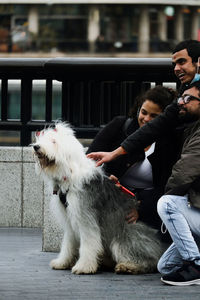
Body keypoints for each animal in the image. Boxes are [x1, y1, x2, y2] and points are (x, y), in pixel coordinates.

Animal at [32, 121, 164, 274]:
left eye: (53, 141)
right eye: (41, 139)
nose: (36, 147)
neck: (69, 174)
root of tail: (160, 248)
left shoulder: (85, 216)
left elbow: (88, 243)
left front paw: (83, 267)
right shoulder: (70, 218)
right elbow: (68, 243)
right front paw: (62, 262)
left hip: (124, 239)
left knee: (149, 261)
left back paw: (128, 266)